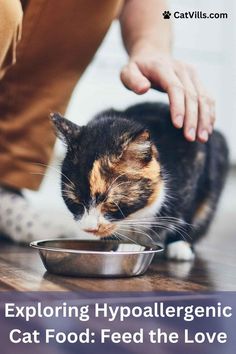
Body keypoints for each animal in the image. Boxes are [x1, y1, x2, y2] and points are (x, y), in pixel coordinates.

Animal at [50, 101, 229, 262]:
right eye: (74, 202)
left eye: (112, 203)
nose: (90, 228)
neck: (135, 216)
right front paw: (123, 244)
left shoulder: (197, 154)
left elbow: (188, 209)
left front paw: (180, 244)